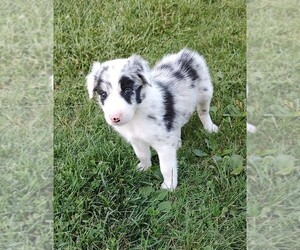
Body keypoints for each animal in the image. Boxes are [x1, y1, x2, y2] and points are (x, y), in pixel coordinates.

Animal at [86, 48, 218, 189]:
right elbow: (142, 155)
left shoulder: (164, 145)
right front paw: (144, 168)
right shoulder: (137, 140)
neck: (136, 116)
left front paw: (169, 187)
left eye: (127, 90)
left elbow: (166, 168)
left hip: (205, 92)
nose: (115, 118)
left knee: (203, 112)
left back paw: (210, 128)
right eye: (103, 94)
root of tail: (185, 54)